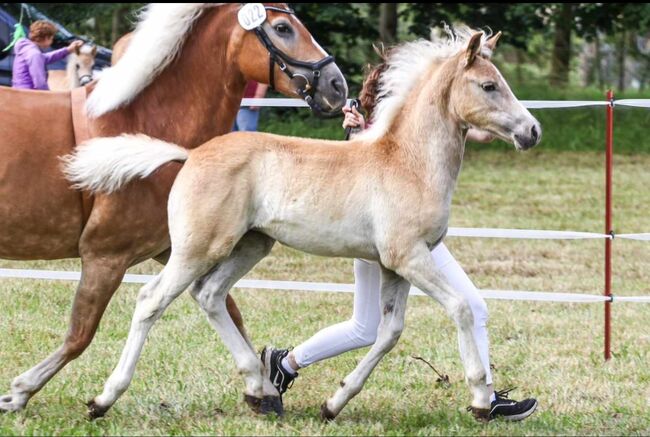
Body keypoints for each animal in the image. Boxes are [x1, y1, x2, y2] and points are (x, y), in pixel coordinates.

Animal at [0, 2, 346, 412]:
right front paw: (21, 391)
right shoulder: (106, 257)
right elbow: (80, 335)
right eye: (282, 28)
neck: (144, 122)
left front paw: (261, 388)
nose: (337, 85)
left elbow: (228, 308)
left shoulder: (175, 249)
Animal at [63, 29, 540, 418]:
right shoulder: (408, 256)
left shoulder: (395, 266)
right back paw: (103, 399)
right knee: (151, 300)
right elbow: (460, 308)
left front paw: (335, 402)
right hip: (199, 248)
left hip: (252, 244)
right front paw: (480, 399)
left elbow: (388, 333)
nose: (532, 131)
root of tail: (190, 154)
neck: (408, 162)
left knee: (210, 295)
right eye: (488, 85)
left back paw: (262, 391)